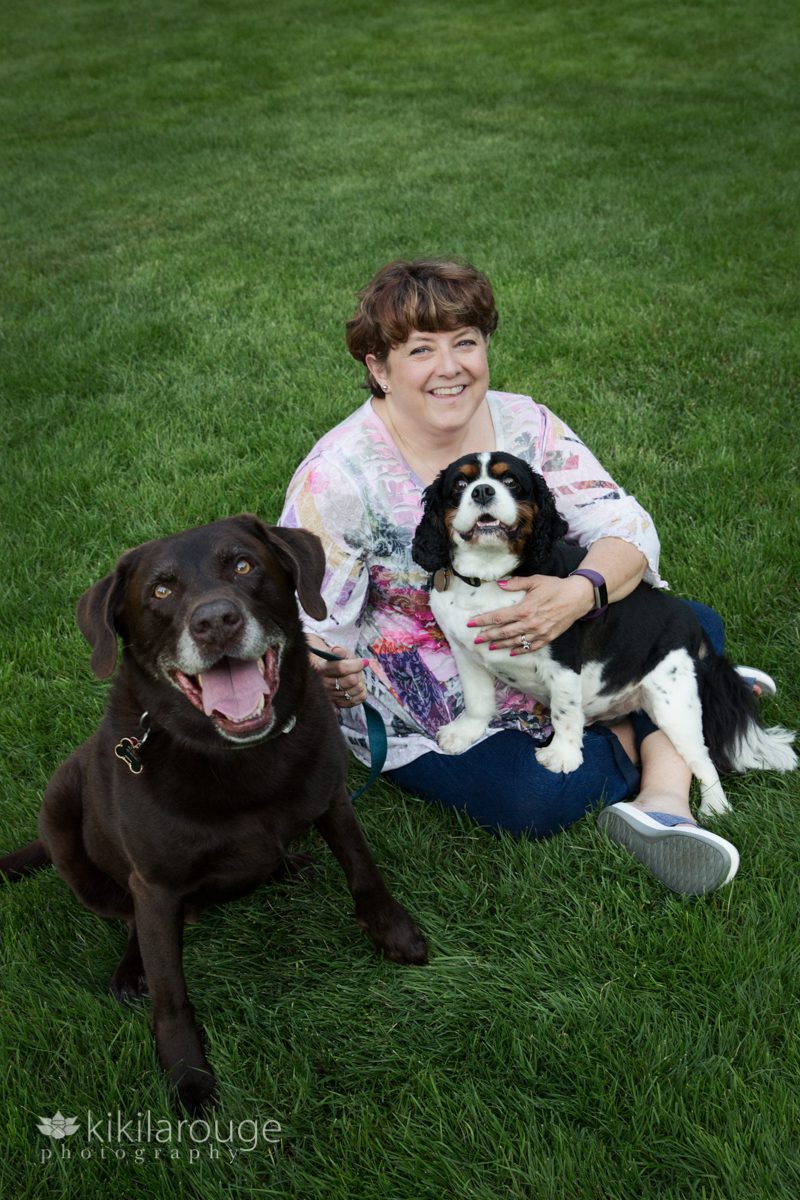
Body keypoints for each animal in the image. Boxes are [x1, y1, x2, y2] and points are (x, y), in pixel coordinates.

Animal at [0, 516, 429, 1113]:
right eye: (160, 591)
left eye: (243, 564)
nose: (216, 622)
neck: (240, 756)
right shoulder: (155, 885)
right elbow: (171, 996)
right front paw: (188, 1077)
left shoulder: (333, 799)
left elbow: (363, 869)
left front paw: (394, 933)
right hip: (60, 808)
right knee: (127, 917)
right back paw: (132, 968)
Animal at [410, 451, 796, 816]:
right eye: (461, 485)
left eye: (510, 481)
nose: (483, 491)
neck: (489, 577)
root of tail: (693, 627)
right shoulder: (465, 652)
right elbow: (478, 700)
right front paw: (464, 733)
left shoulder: (562, 658)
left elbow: (564, 712)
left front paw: (562, 756)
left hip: (674, 701)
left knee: (702, 757)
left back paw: (715, 807)